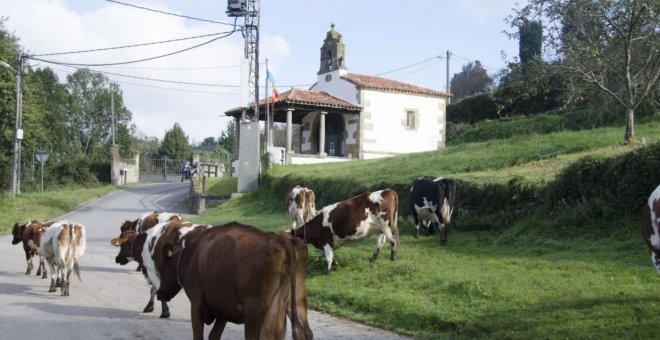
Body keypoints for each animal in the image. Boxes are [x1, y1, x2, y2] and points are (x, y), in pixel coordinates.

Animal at [153, 222, 314, 340]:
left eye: (161, 268)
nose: (160, 293)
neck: (190, 254)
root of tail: (281, 240)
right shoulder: (223, 309)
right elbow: (214, 336)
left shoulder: (197, 302)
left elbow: (199, 336)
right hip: (294, 302)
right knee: (303, 333)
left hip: (255, 313)